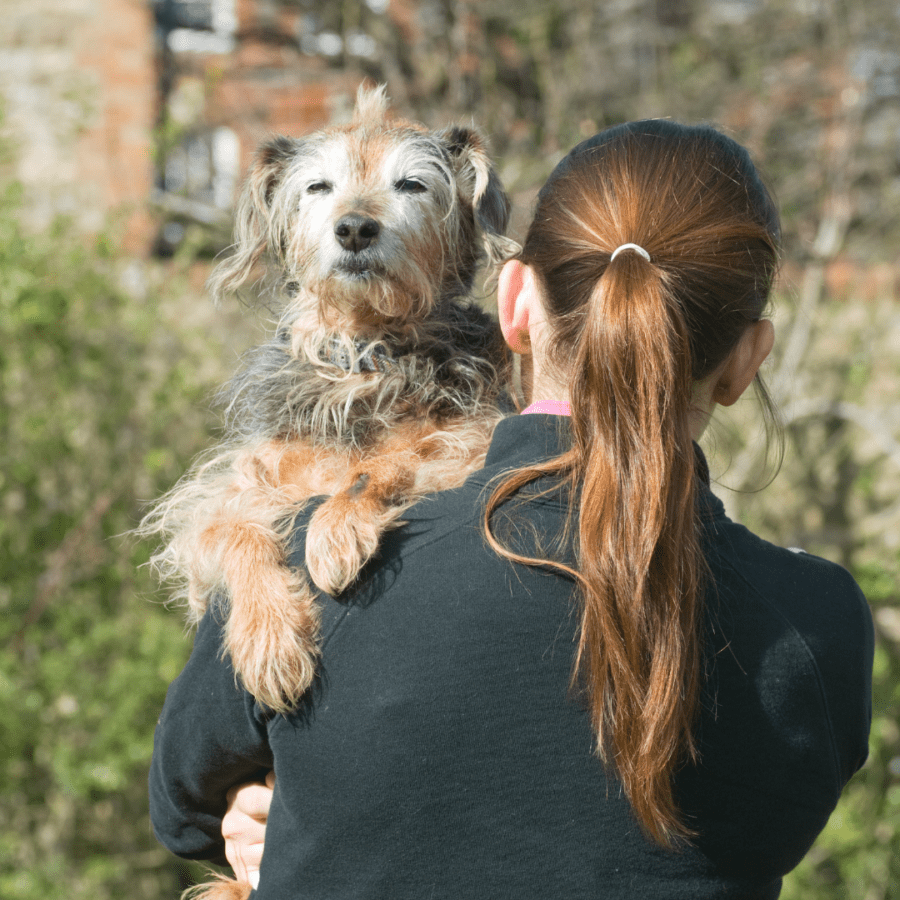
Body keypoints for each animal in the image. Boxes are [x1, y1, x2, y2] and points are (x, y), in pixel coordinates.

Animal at [144, 84, 516, 732]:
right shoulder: (214, 501)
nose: (355, 228)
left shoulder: (474, 437)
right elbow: (236, 532)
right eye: (319, 187)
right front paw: (269, 642)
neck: (361, 356)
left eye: (411, 185)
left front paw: (335, 532)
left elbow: (385, 463)